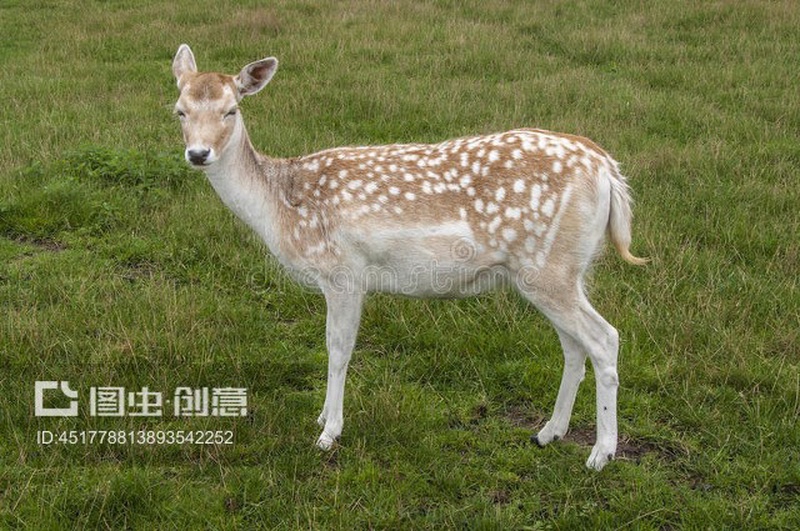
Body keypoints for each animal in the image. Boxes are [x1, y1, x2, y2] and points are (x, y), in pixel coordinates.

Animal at [171, 44, 646, 471]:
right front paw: (323, 417)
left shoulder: (343, 271)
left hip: (548, 267)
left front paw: (329, 432)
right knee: (574, 345)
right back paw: (549, 432)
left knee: (604, 338)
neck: (282, 209)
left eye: (232, 110)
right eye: (179, 110)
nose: (198, 154)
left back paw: (600, 454)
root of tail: (607, 169)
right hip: (560, 269)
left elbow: (338, 348)